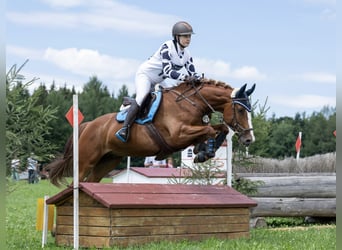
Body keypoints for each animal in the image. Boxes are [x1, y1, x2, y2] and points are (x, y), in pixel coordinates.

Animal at [46, 78, 255, 188]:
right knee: (77, 181)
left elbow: (220, 128)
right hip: (86, 160)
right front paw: (205, 151)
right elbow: (209, 129)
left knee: (91, 181)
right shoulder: (177, 136)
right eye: (241, 110)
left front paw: (203, 151)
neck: (191, 103)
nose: (249, 139)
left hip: (108, 161)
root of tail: (88, 125)